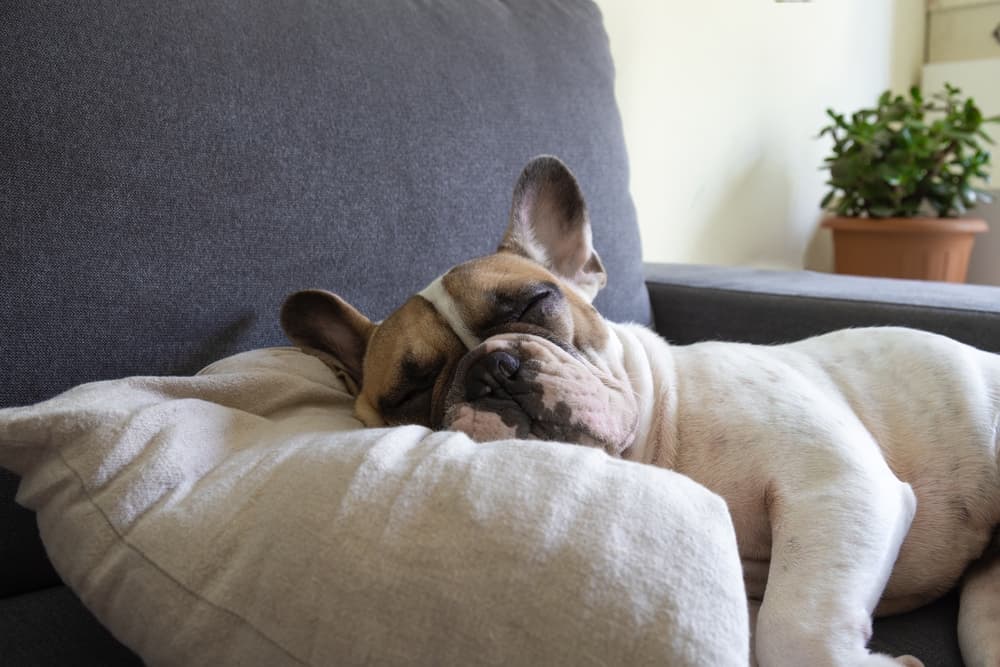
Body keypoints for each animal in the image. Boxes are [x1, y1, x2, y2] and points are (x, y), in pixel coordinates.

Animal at [282, 158, 1000, 667]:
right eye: (408, 393)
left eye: (538, 300)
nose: (491, 369)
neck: (661, 440)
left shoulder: (837, 483)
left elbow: (793, 628)